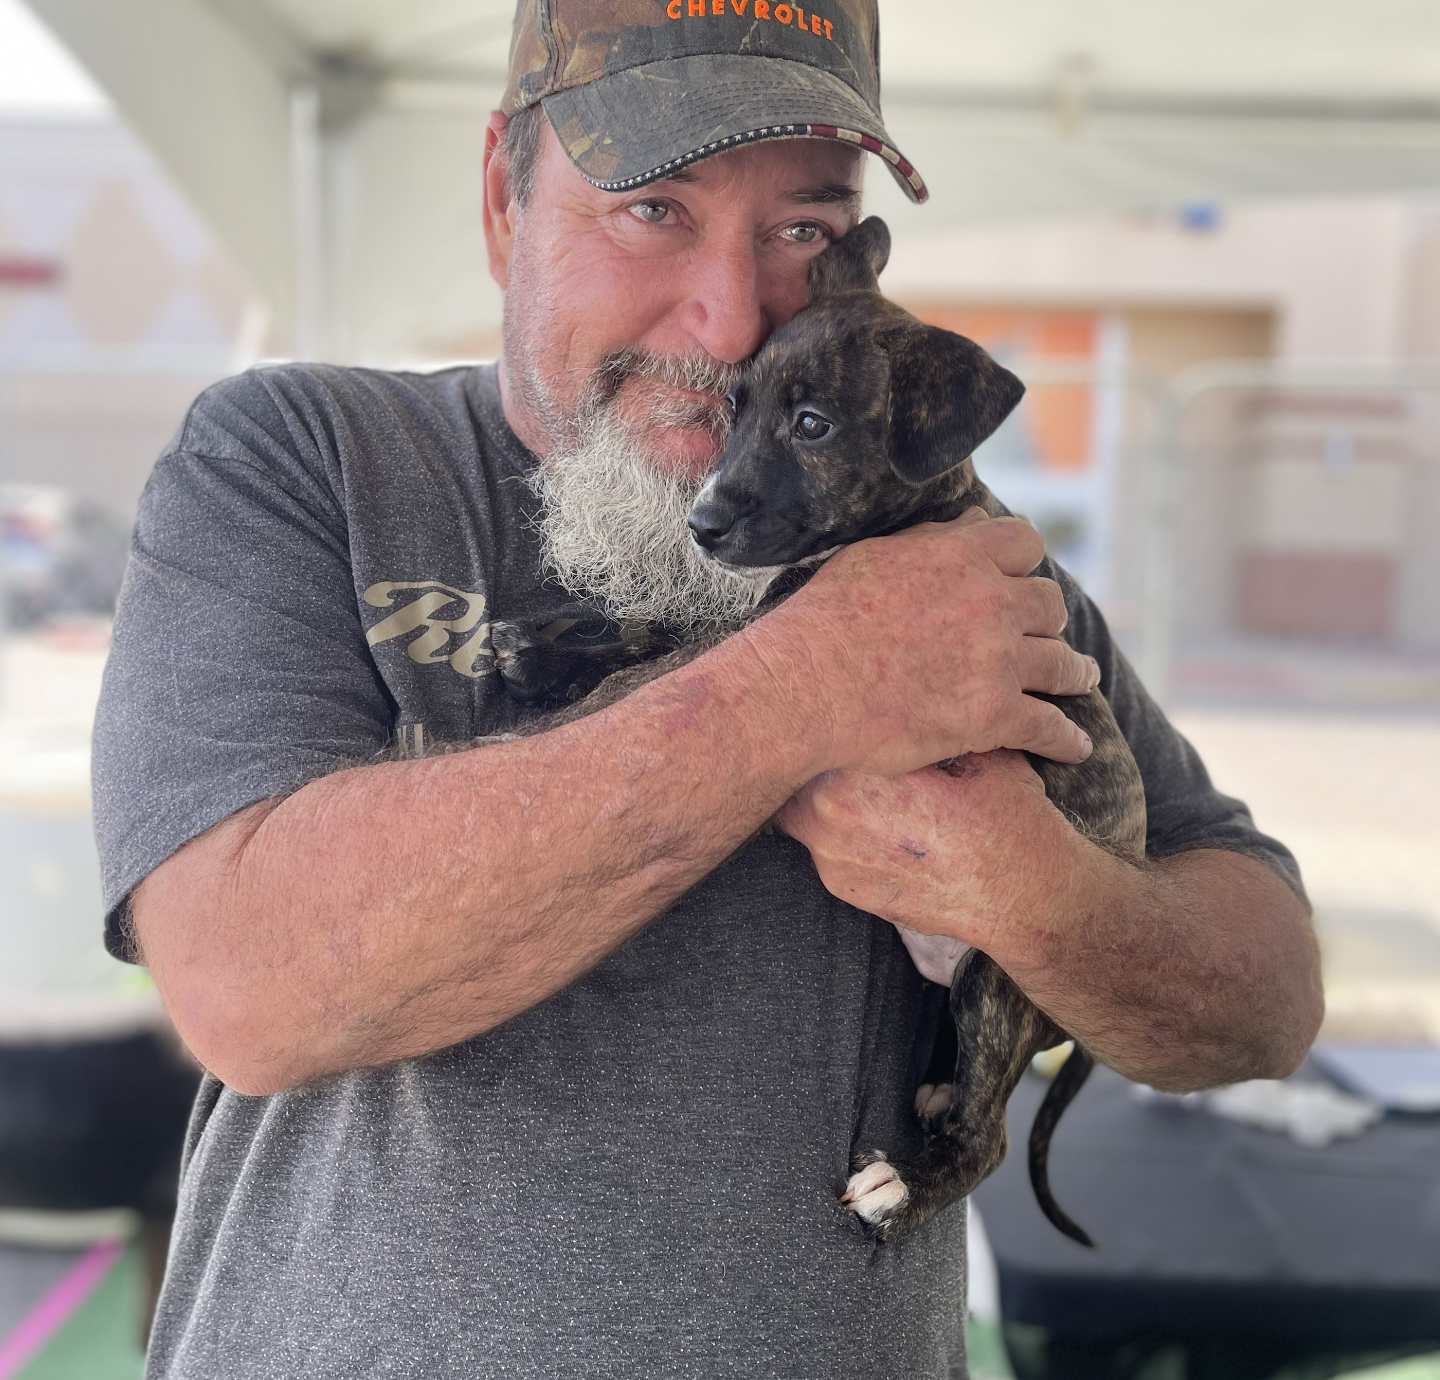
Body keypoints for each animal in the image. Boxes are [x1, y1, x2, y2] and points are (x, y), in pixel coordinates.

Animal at [489, 218, 1140, 1256]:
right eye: (736, 409)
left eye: (813, 425)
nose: (702, 523)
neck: (913, 511)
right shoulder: (759, 622)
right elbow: (663, 631)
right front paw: (543, 649)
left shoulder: (777, 631)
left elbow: (656, 671)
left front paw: (553, 716)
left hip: (1000, 974)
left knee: (990, 1136)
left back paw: (903, 1187)